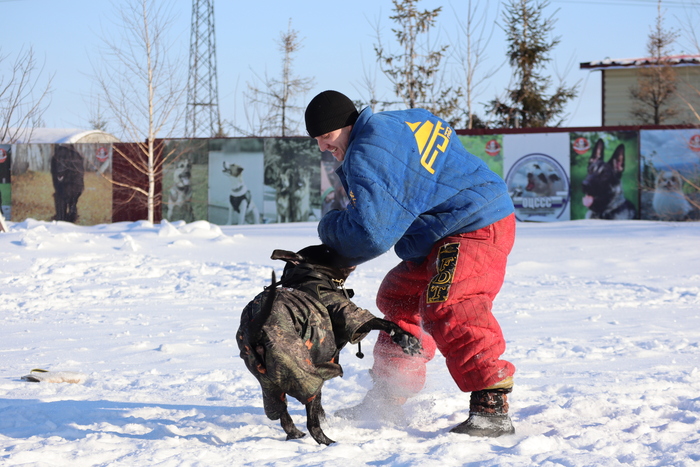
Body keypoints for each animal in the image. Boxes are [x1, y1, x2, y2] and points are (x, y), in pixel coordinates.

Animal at [236, 245, 422, 445]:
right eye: (326, 250)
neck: (311, 275)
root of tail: (255, 328)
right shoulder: (347, 313)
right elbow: (382, 322)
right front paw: (405, 338)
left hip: (270, 382)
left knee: (283, 413)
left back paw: (295, 433)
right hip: (301, 372)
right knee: (311, 422)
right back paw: (329, 442)